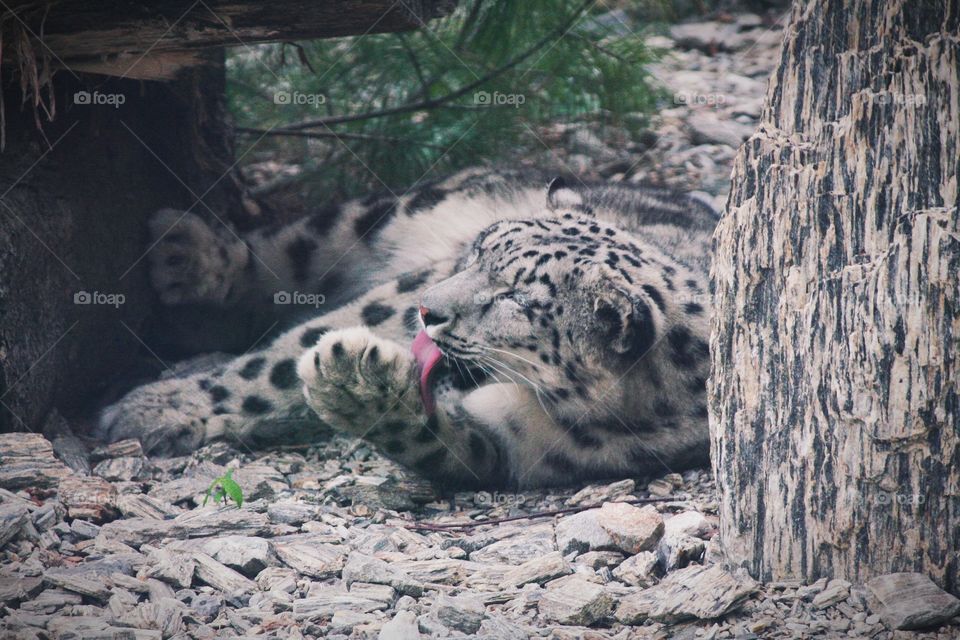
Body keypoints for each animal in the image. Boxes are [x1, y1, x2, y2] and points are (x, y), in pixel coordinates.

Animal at [99, 168, 712, 488]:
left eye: (515, 298)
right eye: (479, 250)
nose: (427, 309)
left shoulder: (515, 449)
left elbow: (435, 439)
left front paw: (355, 386)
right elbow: (275, 363)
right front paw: (156, 408)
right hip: (392, 216)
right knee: (291, 246)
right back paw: (184, 251)